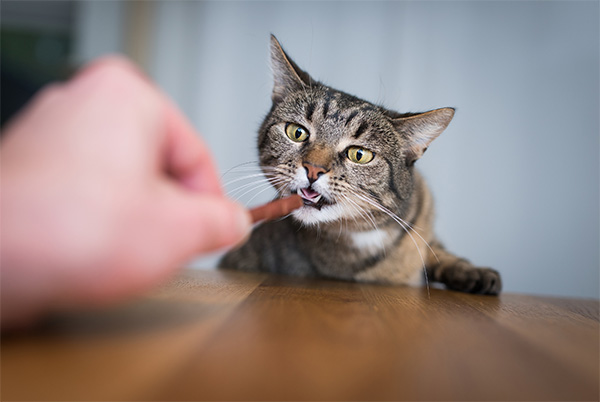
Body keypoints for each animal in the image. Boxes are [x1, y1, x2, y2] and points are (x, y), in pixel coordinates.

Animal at [220, 35, 502, 296]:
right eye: (296, 132)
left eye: (359, 155)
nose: (313, 169)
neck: (364, 234)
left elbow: (438, 252)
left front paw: (473, 272)